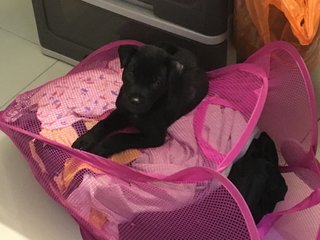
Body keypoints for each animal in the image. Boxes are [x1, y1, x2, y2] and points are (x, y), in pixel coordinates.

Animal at [71, 43, 209, 158]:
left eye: (157, 82)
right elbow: (103, 123)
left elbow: (121, 136)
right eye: (132, 72)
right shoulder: (121, 112)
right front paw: (85, 140)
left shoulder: (154, 136)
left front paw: (100, 148)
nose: (135, 101)